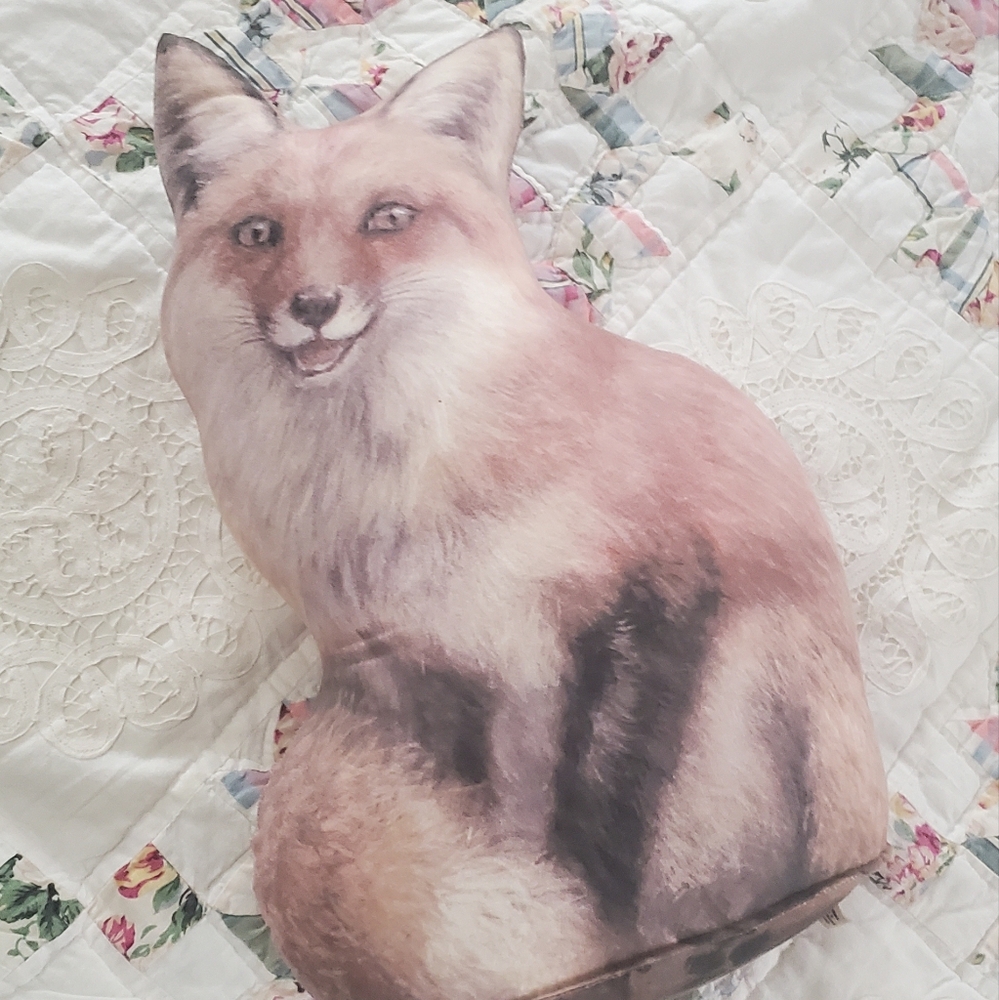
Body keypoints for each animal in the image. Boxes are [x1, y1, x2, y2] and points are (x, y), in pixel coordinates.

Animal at [153, 26, 887, 1000]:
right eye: (258, 234)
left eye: (387, 218)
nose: (310, 307)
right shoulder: (457, 672)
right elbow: (552, 810)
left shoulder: (635, 600)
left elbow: (622, 797)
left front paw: (648, 918)